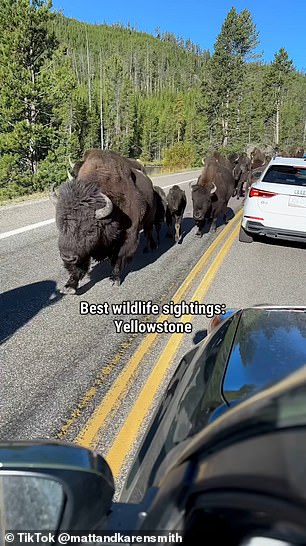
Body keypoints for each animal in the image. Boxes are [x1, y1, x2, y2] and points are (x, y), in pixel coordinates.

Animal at [50, 147, 157, 292]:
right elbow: (79, 265)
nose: (67, 257)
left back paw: (150, 247)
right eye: (61, 225)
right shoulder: (82, 250)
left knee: (149, 231)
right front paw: (70, 285)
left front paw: (114, 279)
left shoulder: (129, 234)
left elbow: (119, 257)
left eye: (89, 230)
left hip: (149, 220)